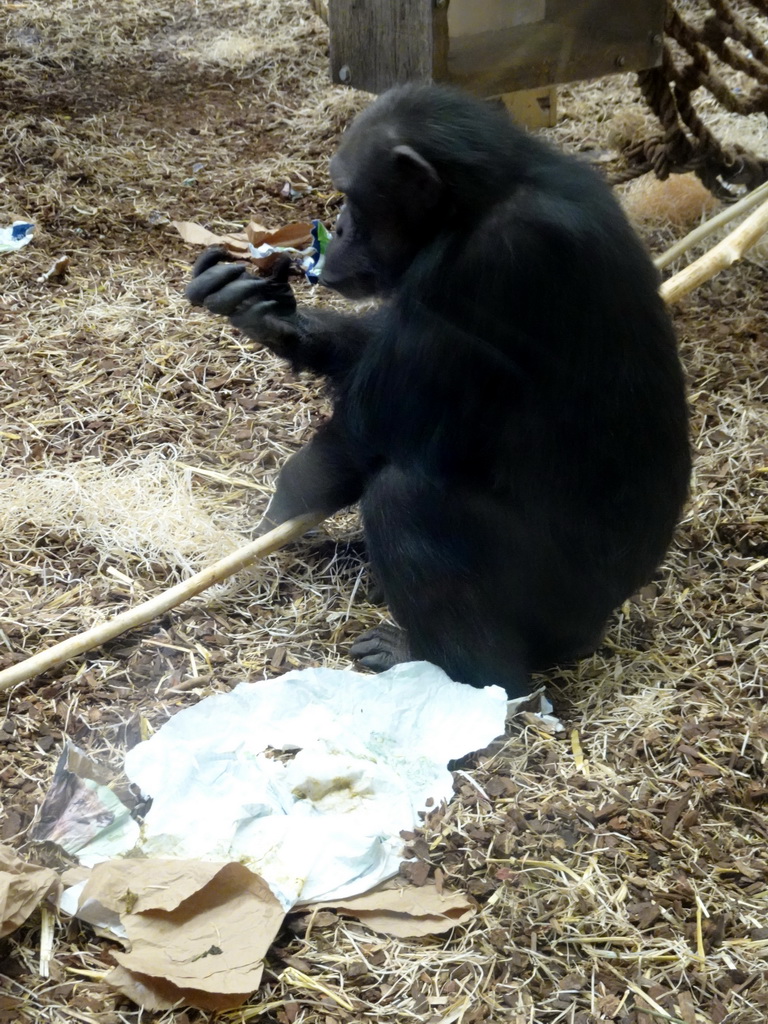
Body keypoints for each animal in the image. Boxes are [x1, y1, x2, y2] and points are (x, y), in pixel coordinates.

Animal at [185, 86, 692, 696]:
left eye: (352, 196)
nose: (339, 225)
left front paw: (277, 516)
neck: (478, 202)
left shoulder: (483, 271)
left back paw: (457, 670)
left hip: (553, 601)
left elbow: (377, 425)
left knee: (402, 499)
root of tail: (599, 624)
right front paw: (268, 313)